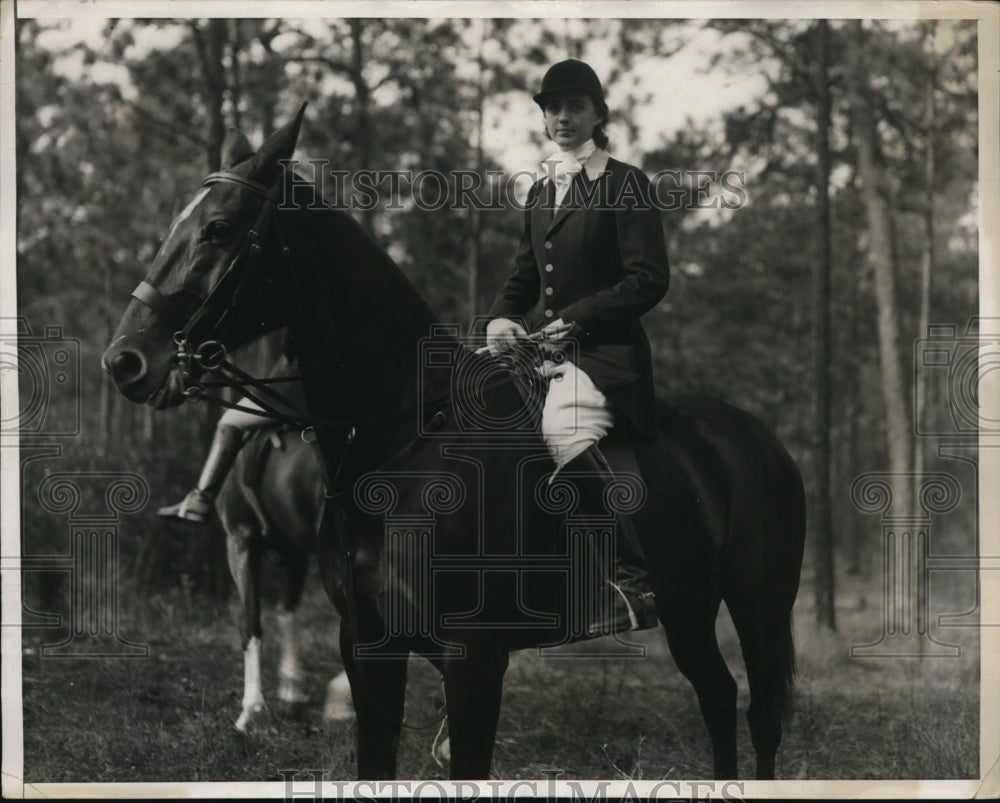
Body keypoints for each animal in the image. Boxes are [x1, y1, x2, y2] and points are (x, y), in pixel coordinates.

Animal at [103, 107, 804, 780]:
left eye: (219, 229)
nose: (125, 360)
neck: (402, 450)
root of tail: (760, 439)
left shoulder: (476, 661)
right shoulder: (367, 647)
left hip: (757, 602)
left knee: (760, 713)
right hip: (690, 606)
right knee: (717, 697)